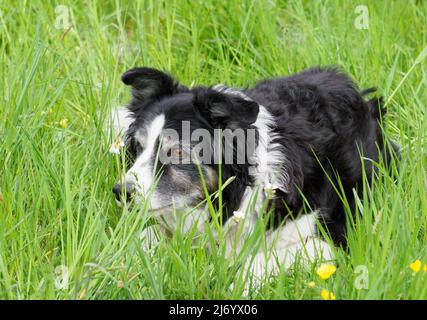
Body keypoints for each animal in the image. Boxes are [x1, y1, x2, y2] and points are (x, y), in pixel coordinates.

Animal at [109, 67, 398, 280]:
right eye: (138, 146)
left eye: (178, 153)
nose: (121, 192)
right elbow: (143, 237)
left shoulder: (338, 235)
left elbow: (258, 262)